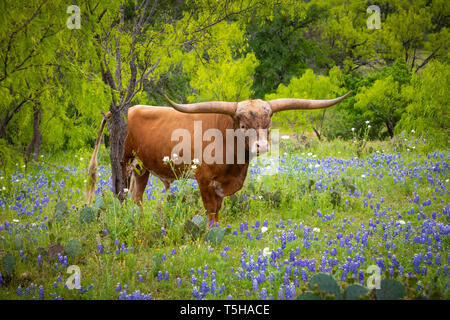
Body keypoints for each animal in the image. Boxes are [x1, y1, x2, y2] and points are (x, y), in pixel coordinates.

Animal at [86, 90, 350, 225]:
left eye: (268, 123)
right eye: (243, 125)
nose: (262, 145)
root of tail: (129, 110)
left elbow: (219, 207)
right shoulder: (203, 179)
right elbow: (210, 209)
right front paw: (211, 230)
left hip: (143, 168)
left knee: (137, 196)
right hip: (124, 162)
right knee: (122, 194)